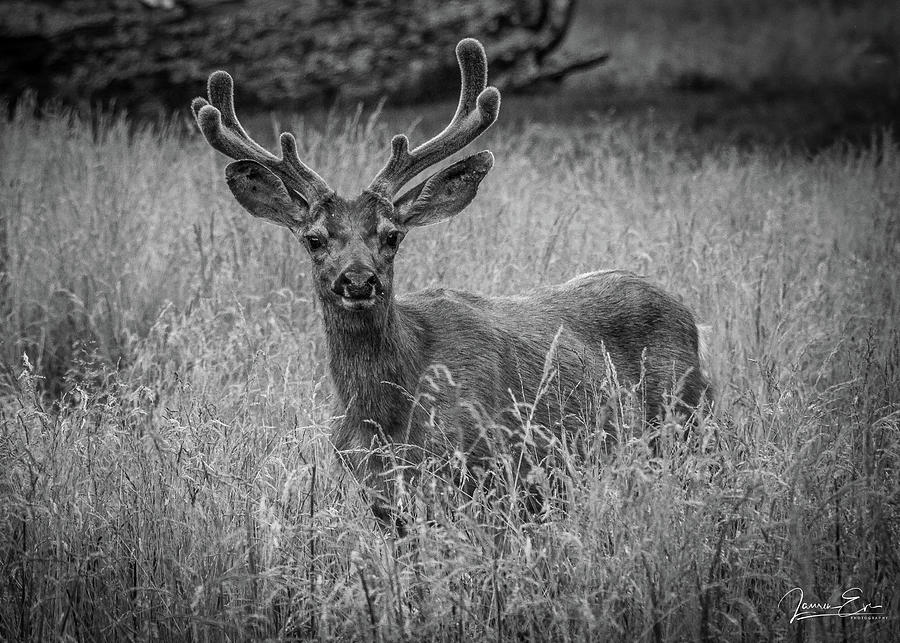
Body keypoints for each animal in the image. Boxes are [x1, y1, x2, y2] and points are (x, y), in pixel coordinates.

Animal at [193, 36, 712, 528]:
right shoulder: (381, 495)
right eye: (314, 239)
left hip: (685, 424)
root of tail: (684, 311)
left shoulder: (488, 470)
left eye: (392, 235)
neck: (384, 415)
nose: (358, 281)